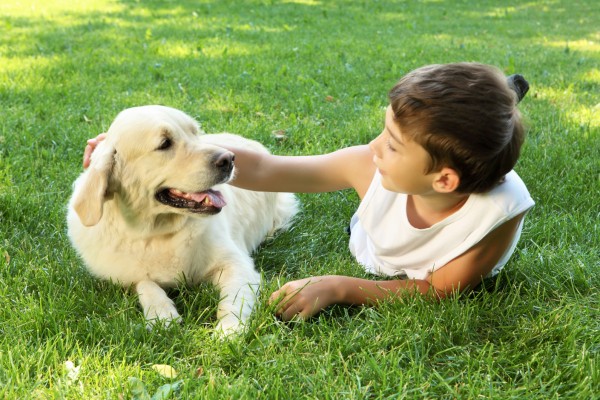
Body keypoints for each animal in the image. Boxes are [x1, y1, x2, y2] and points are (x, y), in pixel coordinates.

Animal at [66, 105, 298, 334]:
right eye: (165, 143)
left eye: (196, 132)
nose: (229, 159)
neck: (158, 232)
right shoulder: (125, 273)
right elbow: (145, 283)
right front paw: (162, 314)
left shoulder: (236, 264)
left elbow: (233, 300)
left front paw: (228, 330)